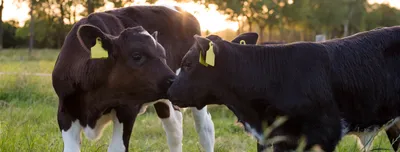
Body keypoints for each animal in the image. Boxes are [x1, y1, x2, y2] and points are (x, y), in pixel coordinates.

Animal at [53, 5, 216, 151]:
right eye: (137, 56)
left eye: (163, 55)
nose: (174, 81)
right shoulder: (65, 111)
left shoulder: (127, 110)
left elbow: (116, 148)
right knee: (174, 128)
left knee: (205, 129)